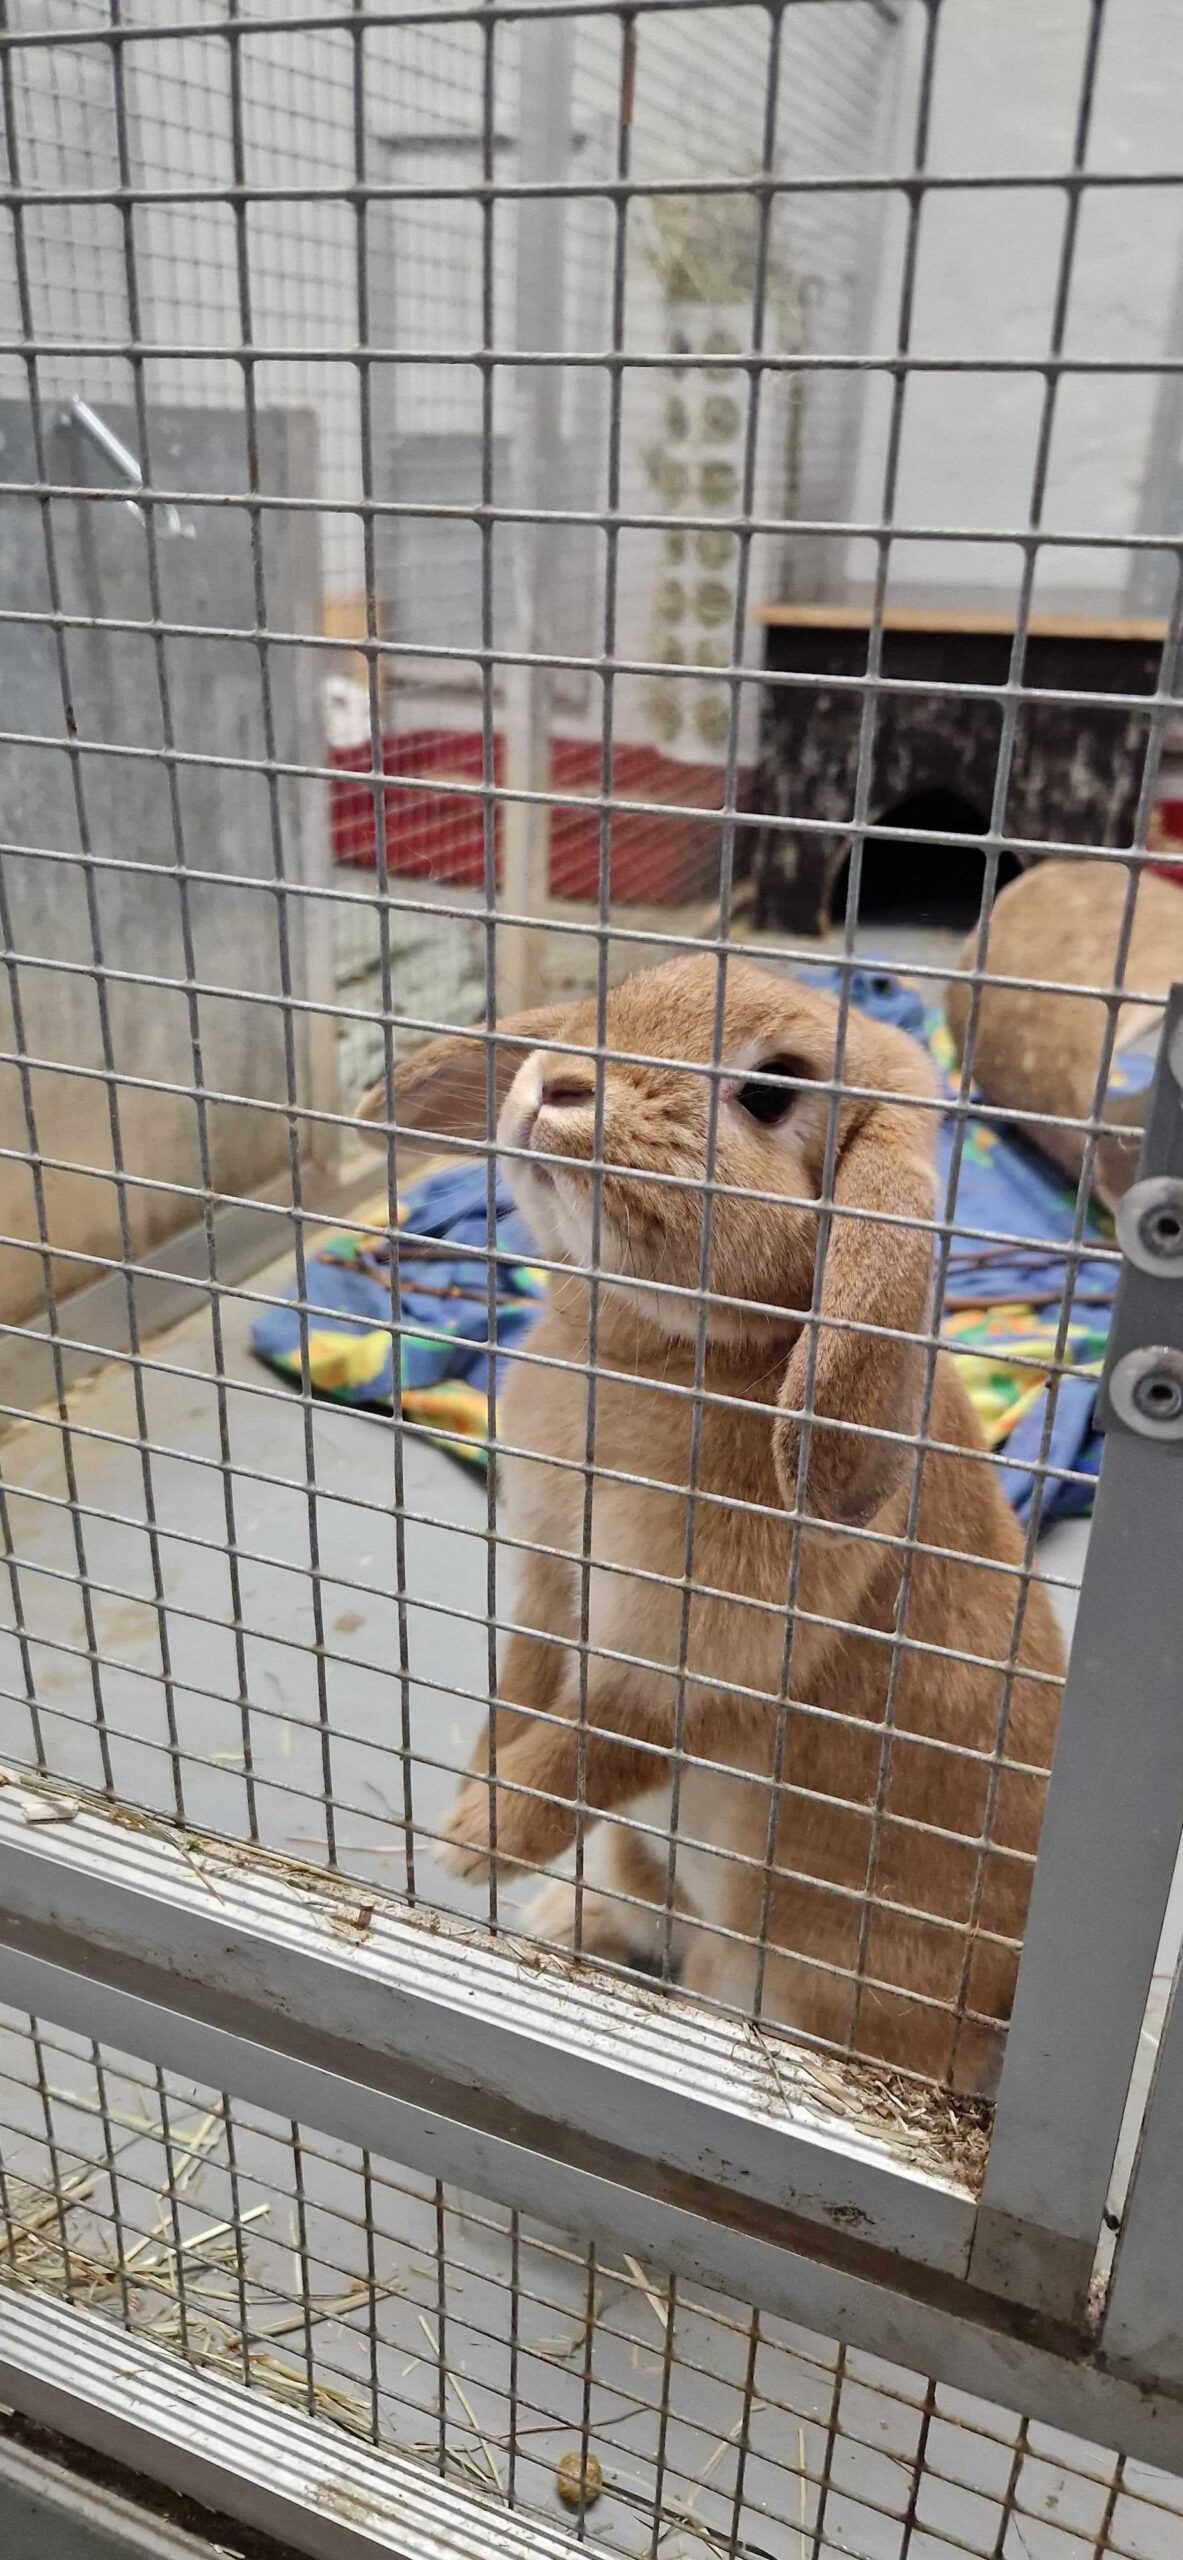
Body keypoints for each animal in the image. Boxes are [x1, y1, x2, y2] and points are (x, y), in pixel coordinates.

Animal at [361, 954, 1064, 2095]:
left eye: (771, 1091)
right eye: (624, 994)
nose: (555, 1085)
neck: (652, 1350)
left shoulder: (691, 1655)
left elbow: (596, 1742)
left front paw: (476, 1840)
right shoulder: (550, 1581)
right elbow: (518, 1691)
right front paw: (472, 1793)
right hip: (647, 1859)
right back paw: (559, 1922)